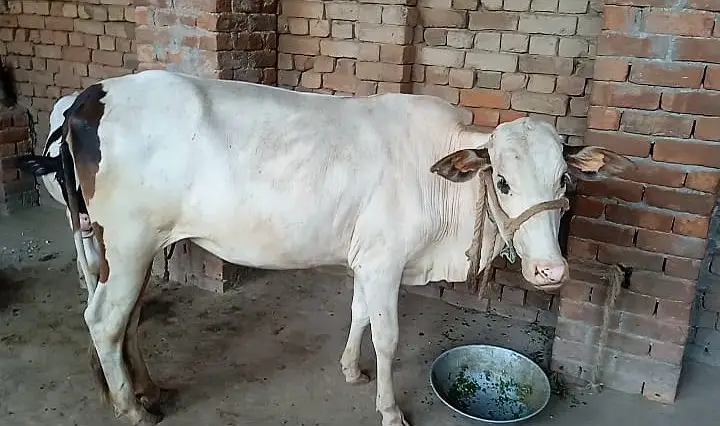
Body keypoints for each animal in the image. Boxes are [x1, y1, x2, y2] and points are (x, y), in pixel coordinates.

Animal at [16, 69, 633, 426]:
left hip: (124, 249)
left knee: (129, 320)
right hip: (129, 242)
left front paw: (350, 370)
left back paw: (148, 390)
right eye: (502, 182)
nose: (550, 270)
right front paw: (389, 407)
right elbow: (387, 337)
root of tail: (89, 98)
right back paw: (130, 408)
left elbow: (357, 314)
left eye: (564, 182)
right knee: (104, 319)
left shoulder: (366, 259)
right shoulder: (385, 262)